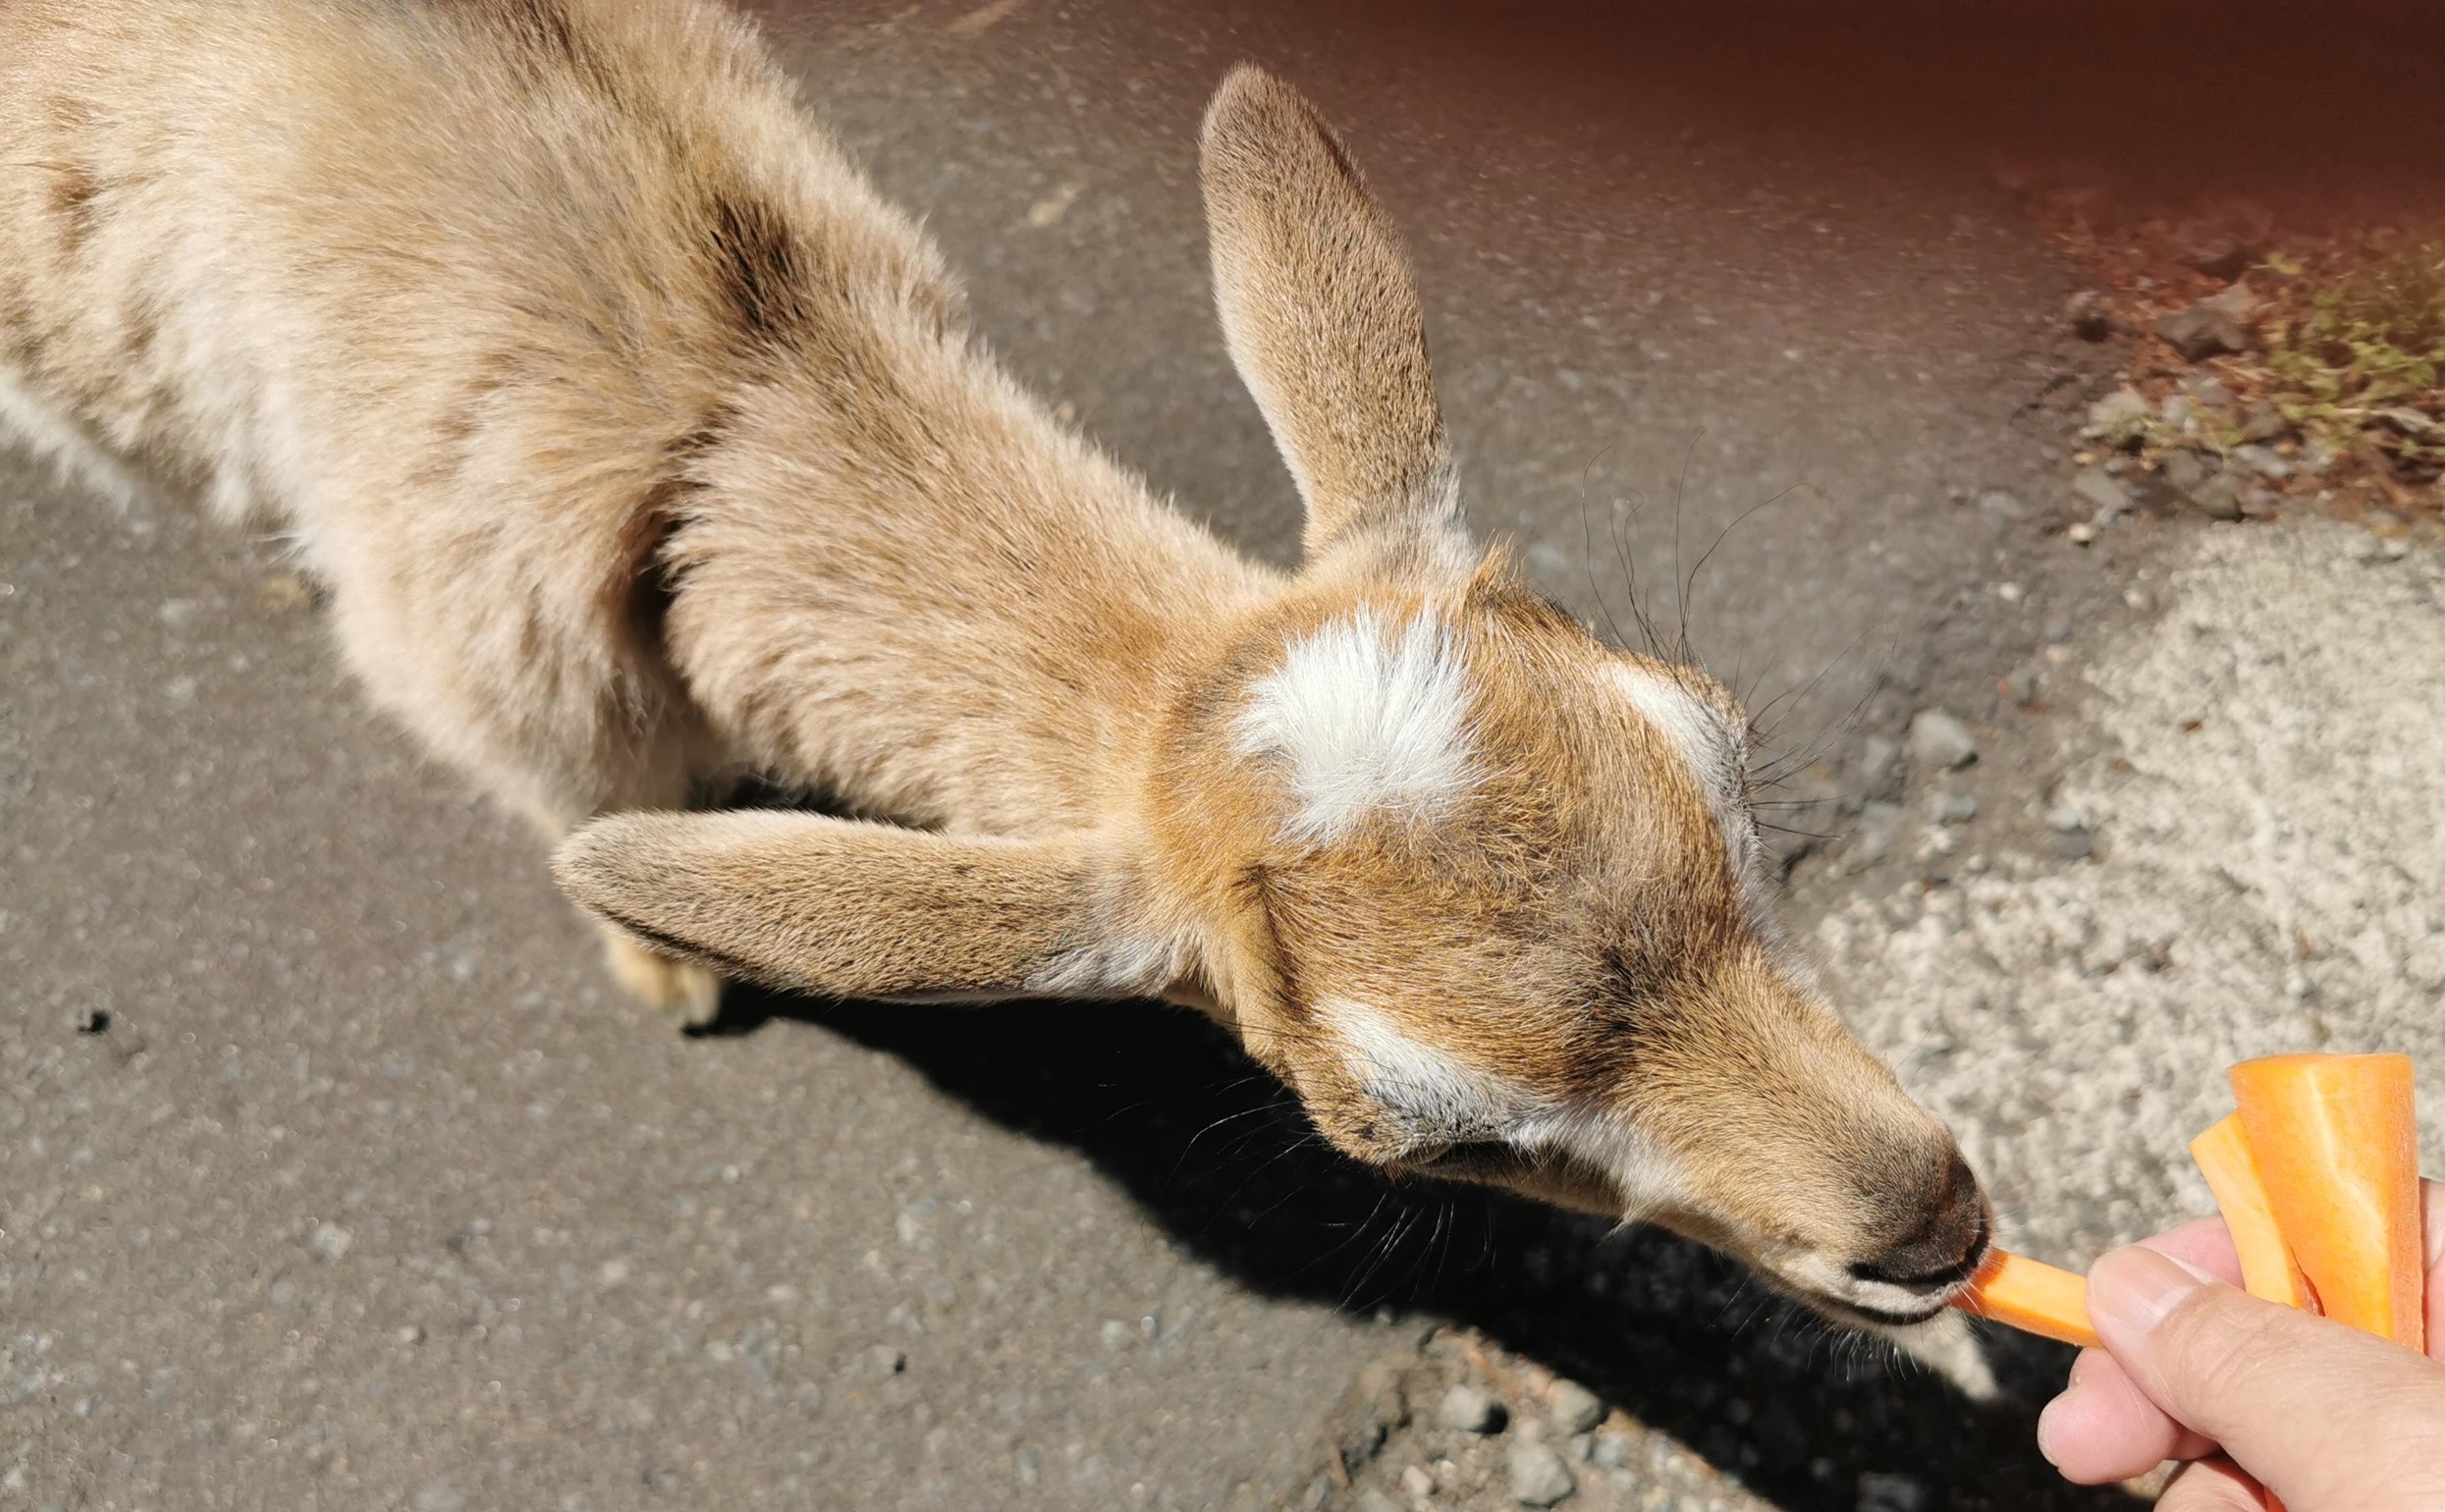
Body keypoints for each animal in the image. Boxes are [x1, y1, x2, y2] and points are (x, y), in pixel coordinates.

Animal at [0, 0, 1993, 1351]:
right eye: (1410, 1145)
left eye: (1726, 761)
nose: (1936, 1229)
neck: (732, 394)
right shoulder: (480, 672)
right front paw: (663, 963)